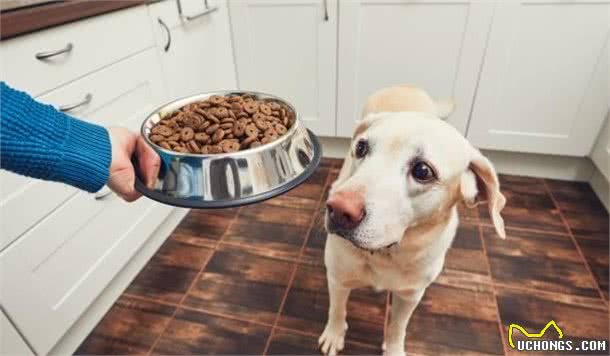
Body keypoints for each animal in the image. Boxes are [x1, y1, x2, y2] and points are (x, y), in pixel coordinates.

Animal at [318, 86, 504, 356]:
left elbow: (398, 327)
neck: (387, 254)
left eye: (423, 171)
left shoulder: (411, 295)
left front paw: (394, 349)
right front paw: (333, 335)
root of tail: (405, 85)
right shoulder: (338, 278)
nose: (338, 210)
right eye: (361, 148)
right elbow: (336, 310)